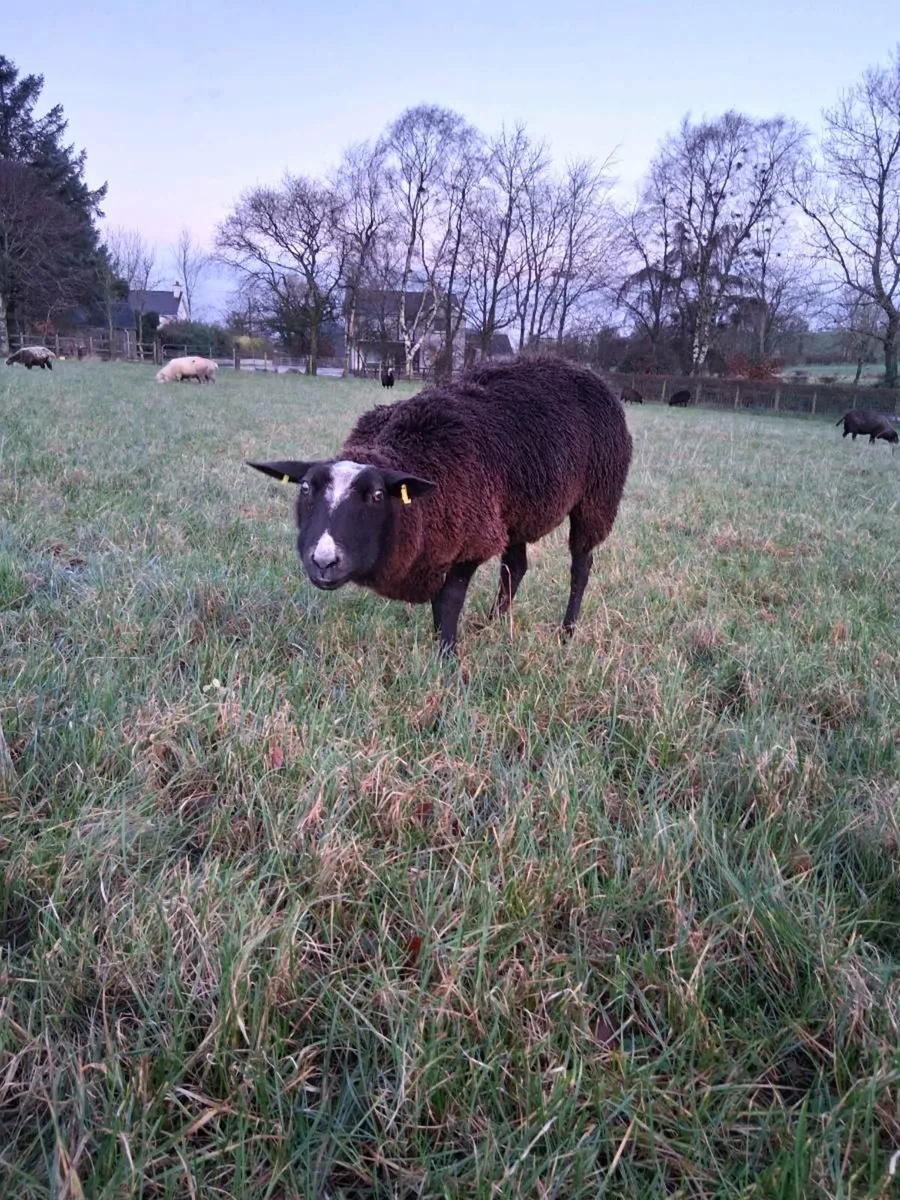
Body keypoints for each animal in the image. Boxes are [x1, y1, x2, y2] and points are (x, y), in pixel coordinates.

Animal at [248, 355, 633, 653]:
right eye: (305, 489)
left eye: (377, 496)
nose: (324, 561)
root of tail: (585, 371)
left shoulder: (474, 535)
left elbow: (447, 601)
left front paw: (446, 658)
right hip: (516, 510)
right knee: (515, 567)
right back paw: (492, 624)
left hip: (596, 499)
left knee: (580, 567)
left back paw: (567, 632)